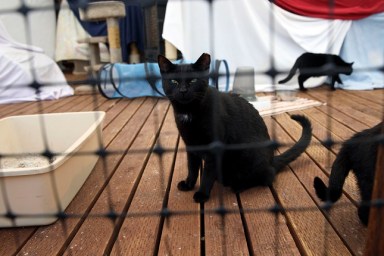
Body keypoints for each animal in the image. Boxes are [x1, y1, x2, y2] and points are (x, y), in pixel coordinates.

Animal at [158, 53, 312, 203]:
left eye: (193, 81)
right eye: (174, 82)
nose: (183, 90)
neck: (188, 112)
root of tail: (271, 160)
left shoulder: (214, 149)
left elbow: (207, 174)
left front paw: (202, 194)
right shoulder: (191, 145)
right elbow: (192, 168)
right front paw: (188, 184)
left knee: (267, 176)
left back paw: (238, 185)